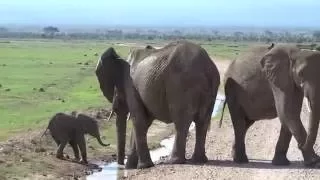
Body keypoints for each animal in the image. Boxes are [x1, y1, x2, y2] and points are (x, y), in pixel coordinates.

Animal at [95, 40, 220, 169]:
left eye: (116, 91)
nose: (120, 164)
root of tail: (206, 65)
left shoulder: (131, 84)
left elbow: (139, 120)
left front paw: (142, 166)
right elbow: (144, 122)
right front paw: (132, 167)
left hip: (182, 86)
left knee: (181, 122)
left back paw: (174, 161)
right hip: (211, 87)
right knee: (203, 122)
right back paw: (199, 160)